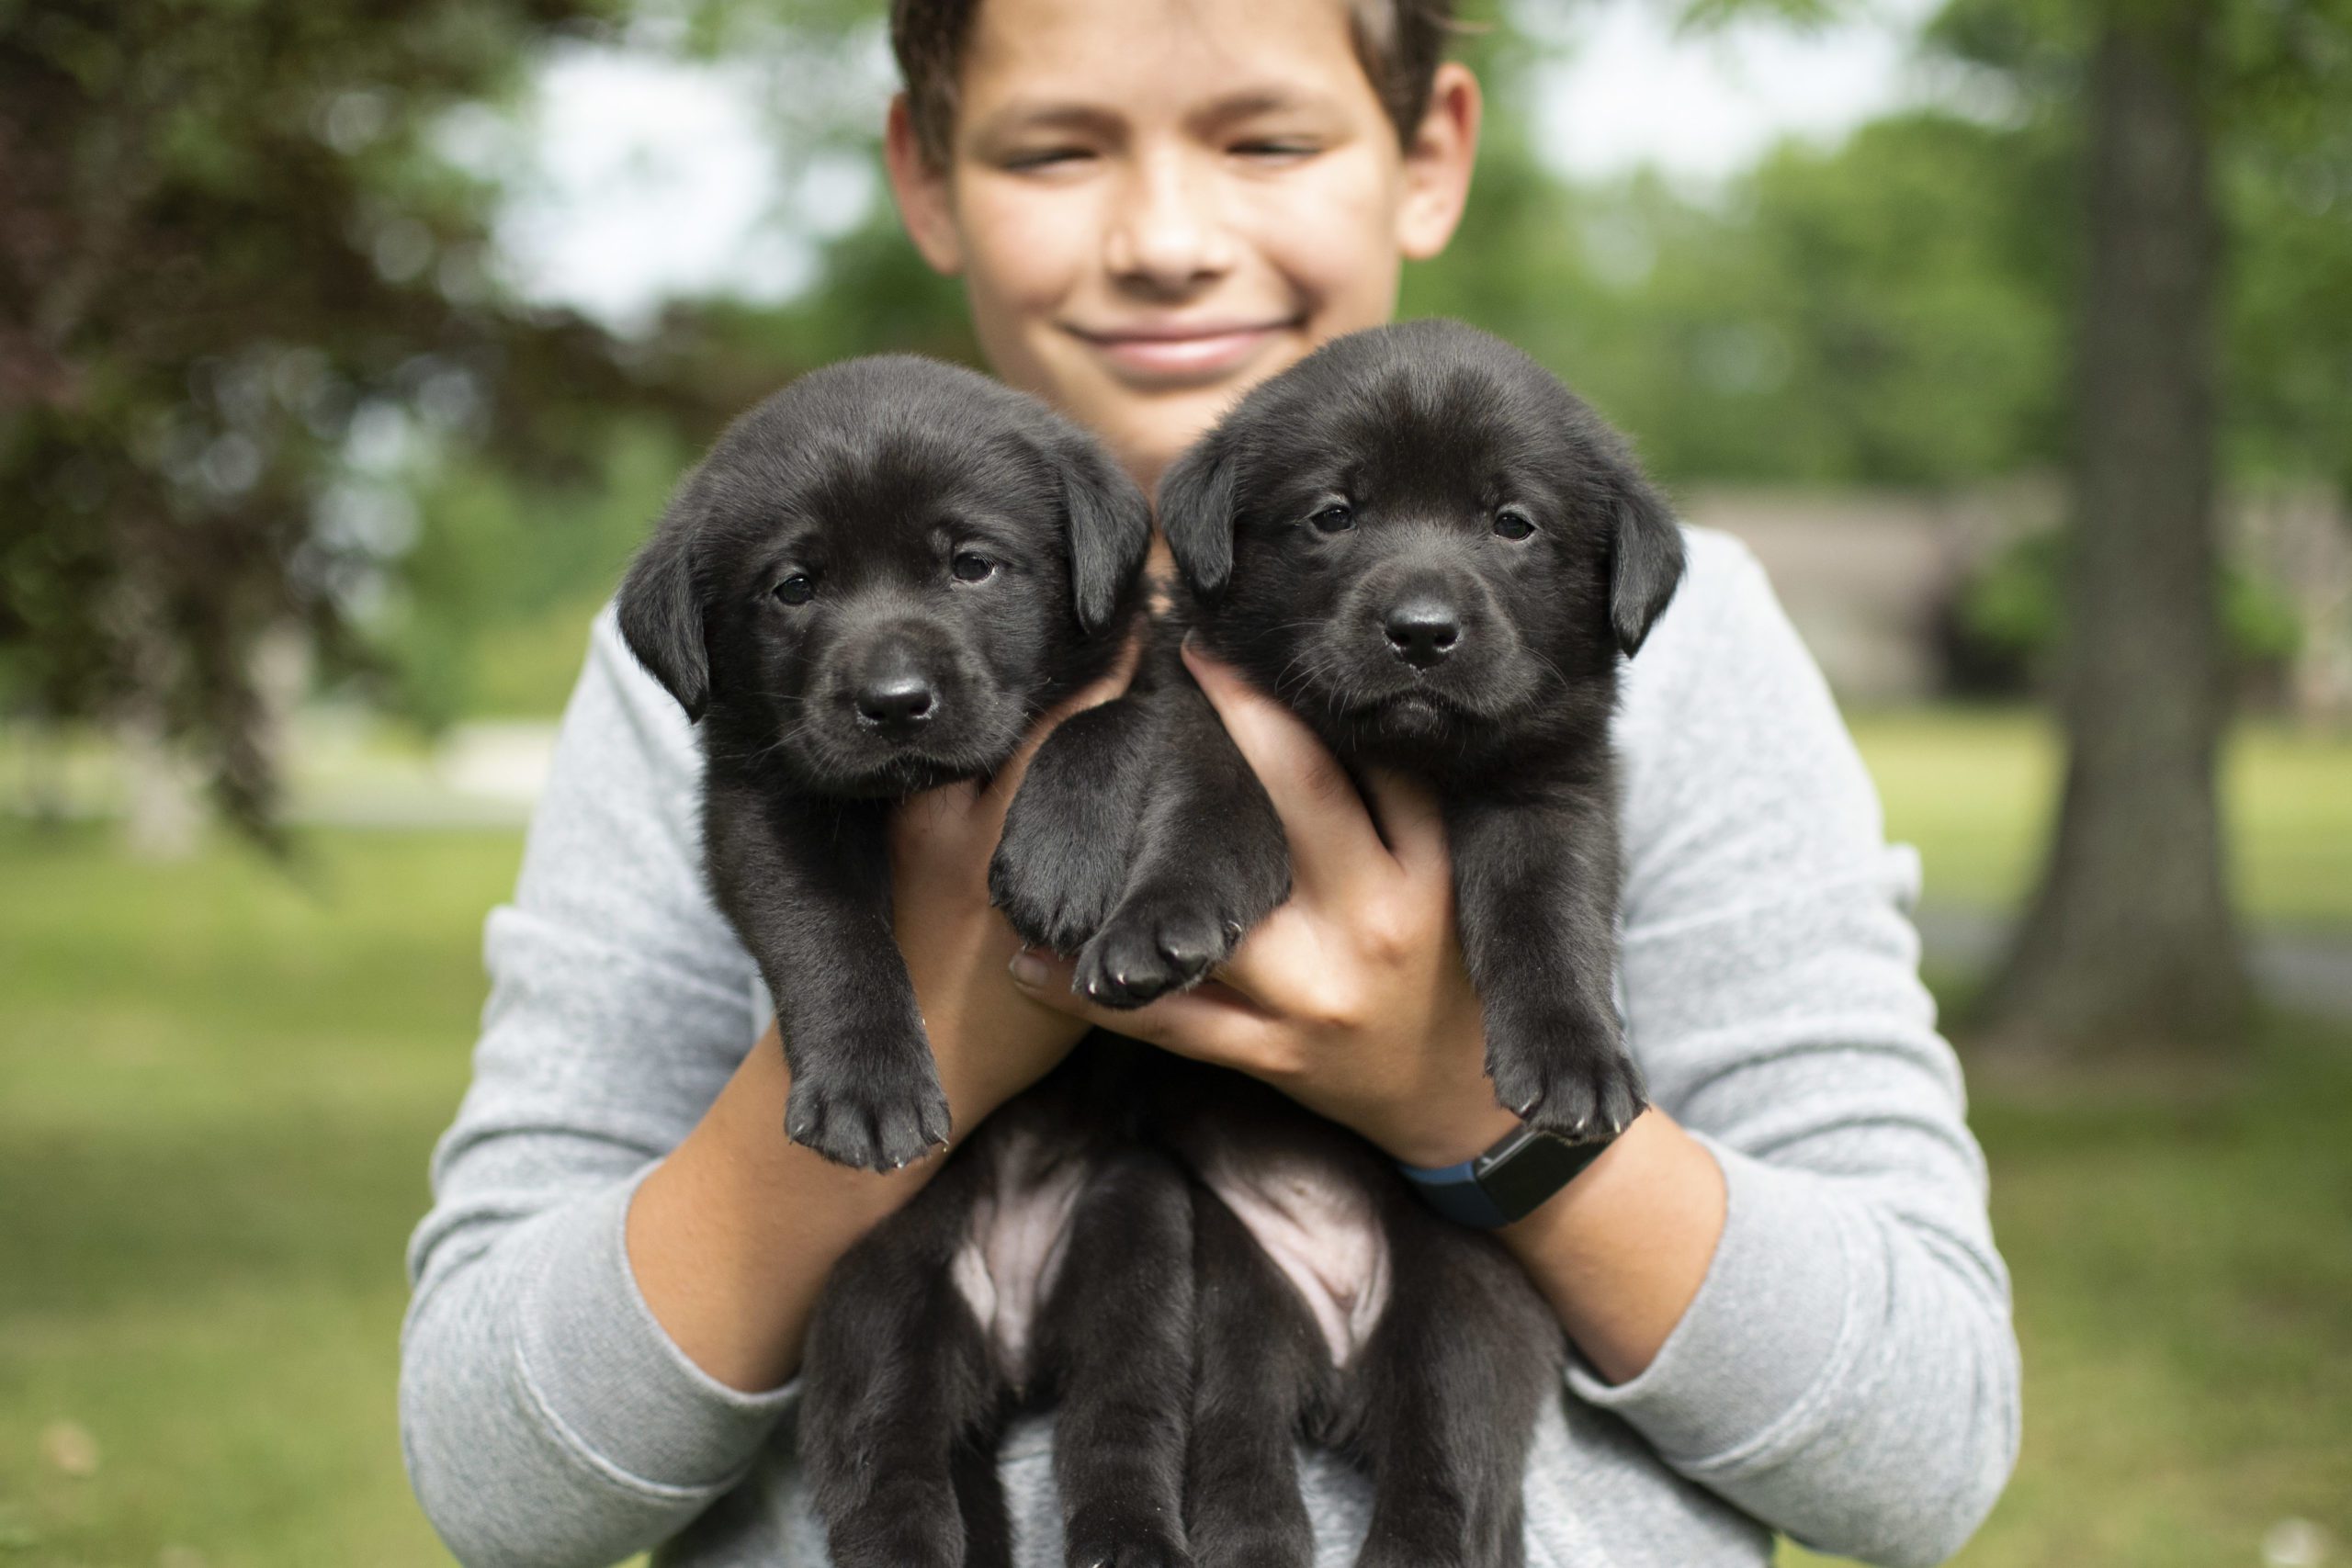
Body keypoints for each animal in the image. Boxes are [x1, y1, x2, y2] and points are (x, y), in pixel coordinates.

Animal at [616, 352, 1148, 1166]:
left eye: (972, 565)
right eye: (794, 587)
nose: (894, 701)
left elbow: (1106, 716)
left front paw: (1061, 859)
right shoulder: (757, 797)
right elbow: (824, 923)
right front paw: (868, 1086)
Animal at [1001, 314, 1683, 1142]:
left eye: (1513, 524)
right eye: (1333, 514)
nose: (1422, 632)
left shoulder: (1554, 785)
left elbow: (1549, 909)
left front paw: (1573, 1055)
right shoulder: (1212, 724)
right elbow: (1203, 819)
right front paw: (1160, 921)